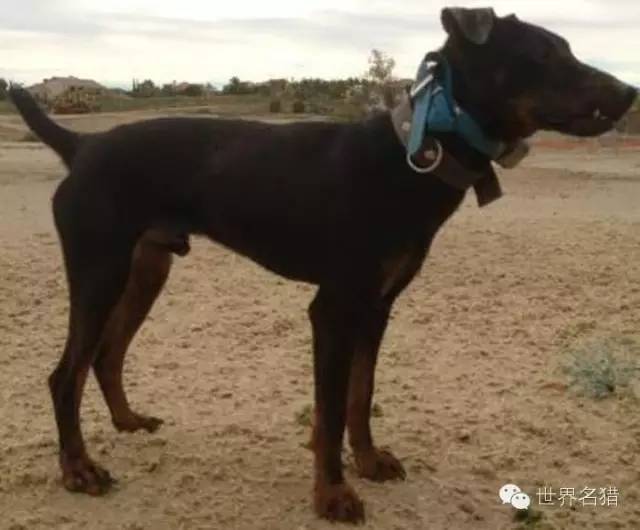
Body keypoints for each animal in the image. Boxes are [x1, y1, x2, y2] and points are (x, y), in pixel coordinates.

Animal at [8, 6, 636, 520]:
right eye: (544, 54)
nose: (630, 91)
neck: (414, 153)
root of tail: (82, 146)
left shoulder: (376, 307)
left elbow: (360, 395)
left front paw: (369, 462)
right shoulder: (333, 309)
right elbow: (330, 413)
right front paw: (332, 495)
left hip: (145, 270)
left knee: (106, 354)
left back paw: (127, 422)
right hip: (99, 271)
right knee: (64, 374)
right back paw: (78, 470)